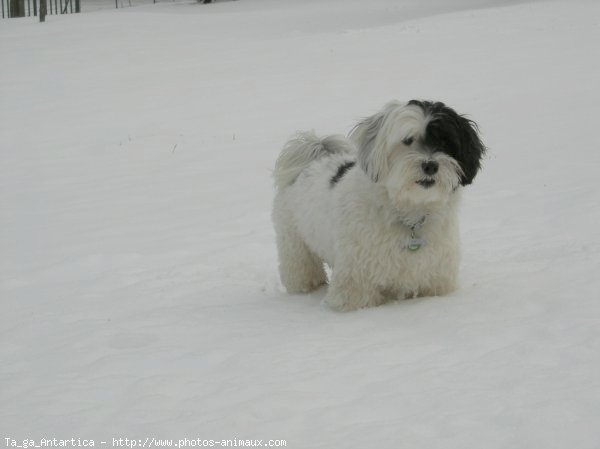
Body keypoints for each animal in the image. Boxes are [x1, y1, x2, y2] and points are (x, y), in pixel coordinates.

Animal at [270, 100, 482, 310]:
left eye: (445, 142)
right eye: (407, 140)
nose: (430, 165)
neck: (409, 210)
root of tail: (313, 159)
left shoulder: (436, 276)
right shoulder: (355, 278)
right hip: (294, 241)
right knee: (300, 267)